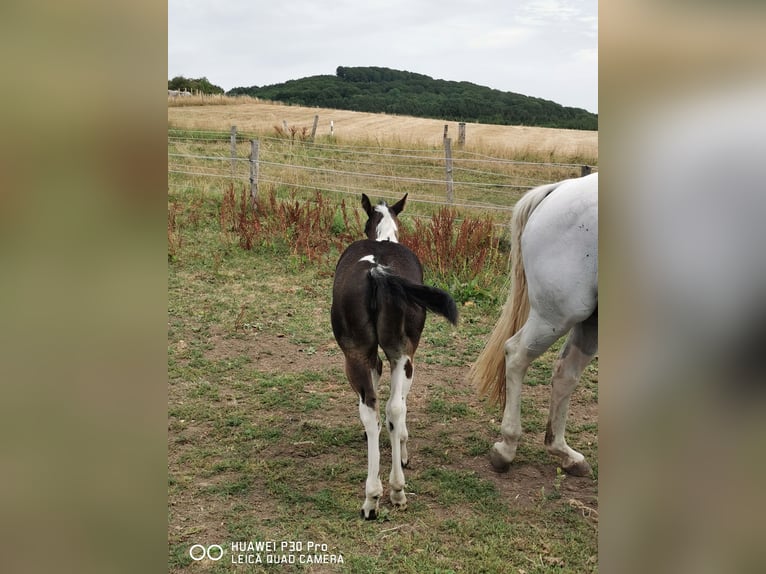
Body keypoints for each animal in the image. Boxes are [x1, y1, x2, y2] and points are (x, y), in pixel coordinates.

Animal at [331, 193, 458, 519]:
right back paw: (393, 491)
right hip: (400, 355)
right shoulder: (399, 356)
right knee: (390, 409)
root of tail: (377, 271)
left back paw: (374, 496)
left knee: (374, 410)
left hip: (359, 356)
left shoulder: (380, 358)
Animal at [470, 172, 598, 476]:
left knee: (565, 373)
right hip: (558, 315)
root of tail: (561, 187)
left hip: (591, 319)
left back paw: (565, 453)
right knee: (517, 354)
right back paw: (507, 448)